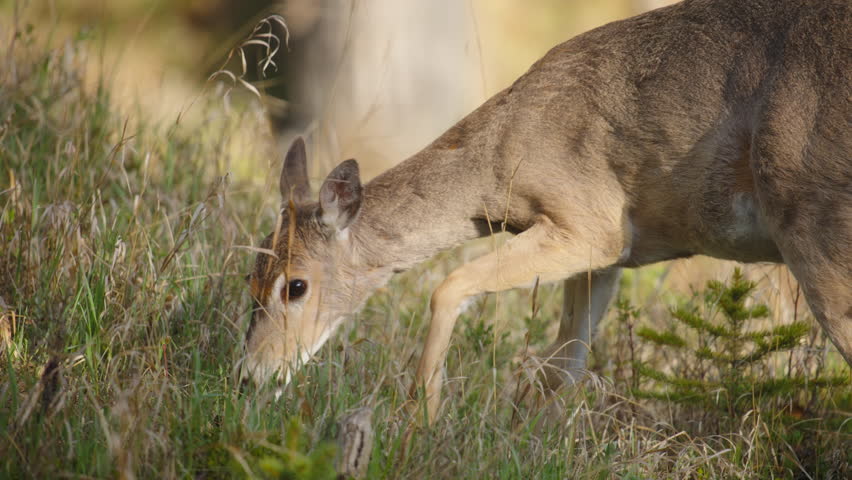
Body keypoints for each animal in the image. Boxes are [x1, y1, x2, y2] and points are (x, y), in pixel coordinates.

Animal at [241, 0, 852, 423]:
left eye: (296, 286)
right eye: (251, 278)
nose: (249, 376)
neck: (496, 164)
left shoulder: (589, 223)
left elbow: (449, 286)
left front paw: (423, 418)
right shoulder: (610, 257)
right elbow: (564, 367)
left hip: (814, 223)